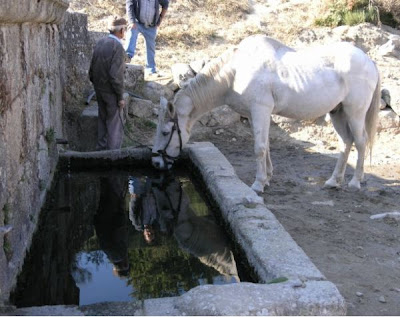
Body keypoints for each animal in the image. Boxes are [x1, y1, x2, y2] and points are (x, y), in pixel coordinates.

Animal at [152, 34, 380, 193]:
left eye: (165, 132)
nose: (155, 163)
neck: (235, 72)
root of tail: (368, 60)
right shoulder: (256, 115)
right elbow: (266, 145)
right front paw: (268, 177)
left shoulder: (260, 110)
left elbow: (259, 148)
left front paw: (258, 184)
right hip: (337, 113)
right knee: (346, 143)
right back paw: (334, 181)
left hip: (354, 113)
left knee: (360, 141)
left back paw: (355, 182)